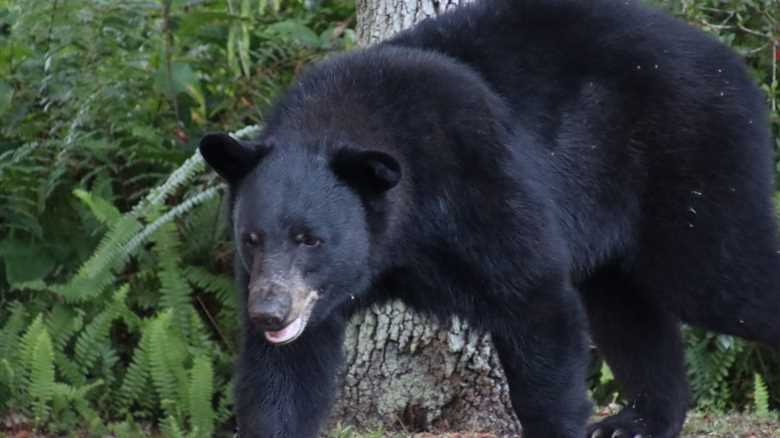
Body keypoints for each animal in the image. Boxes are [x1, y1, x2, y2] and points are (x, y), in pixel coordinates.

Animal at [198, 0, 780, 437]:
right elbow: (284, 377)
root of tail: (731, 62)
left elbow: (534, 301)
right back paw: (637, 422)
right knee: (625, 308)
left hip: (690, 160)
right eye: (252, 238)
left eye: (310, 238)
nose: (268, 312)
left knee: (723, 275)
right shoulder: (302, 300)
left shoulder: (481, 180)